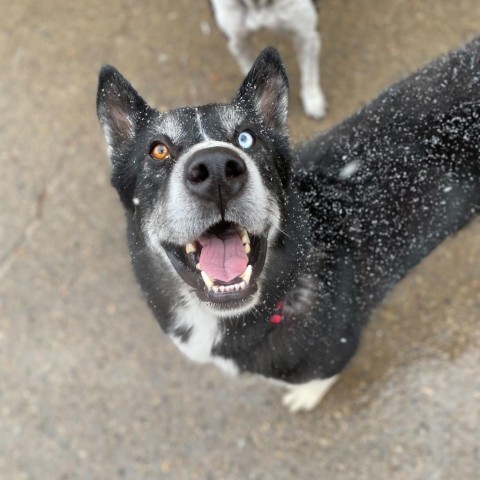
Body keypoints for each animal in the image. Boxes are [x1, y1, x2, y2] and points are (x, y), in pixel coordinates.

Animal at [97, 38, 480, 412]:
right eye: (158, 150)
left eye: (247, 138)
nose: (217, 168)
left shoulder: (336, 351)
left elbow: (320, 377)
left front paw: (306, 396)